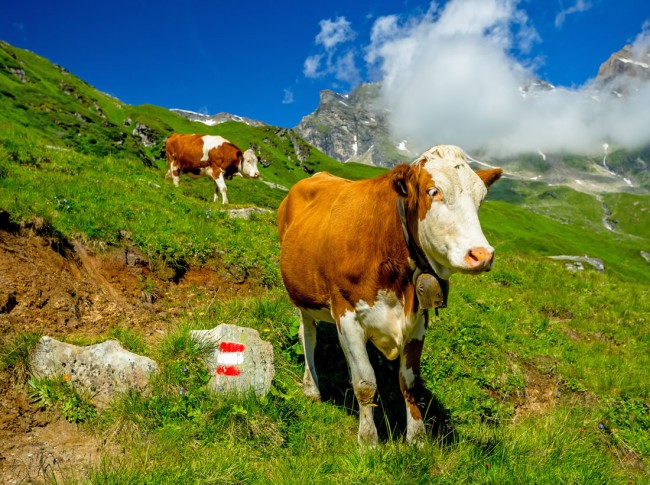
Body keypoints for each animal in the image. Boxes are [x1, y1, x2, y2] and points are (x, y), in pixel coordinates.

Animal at [277, 145, 502, 445]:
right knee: (307, 336)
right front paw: (368, 440)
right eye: (433, 191)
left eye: (481, 199)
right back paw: (311, 387)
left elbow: (410, 384)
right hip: (301, 297)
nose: (482, 254)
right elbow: (365, 383)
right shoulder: (347, 314)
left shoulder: (418, 320)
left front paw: (417, 439)